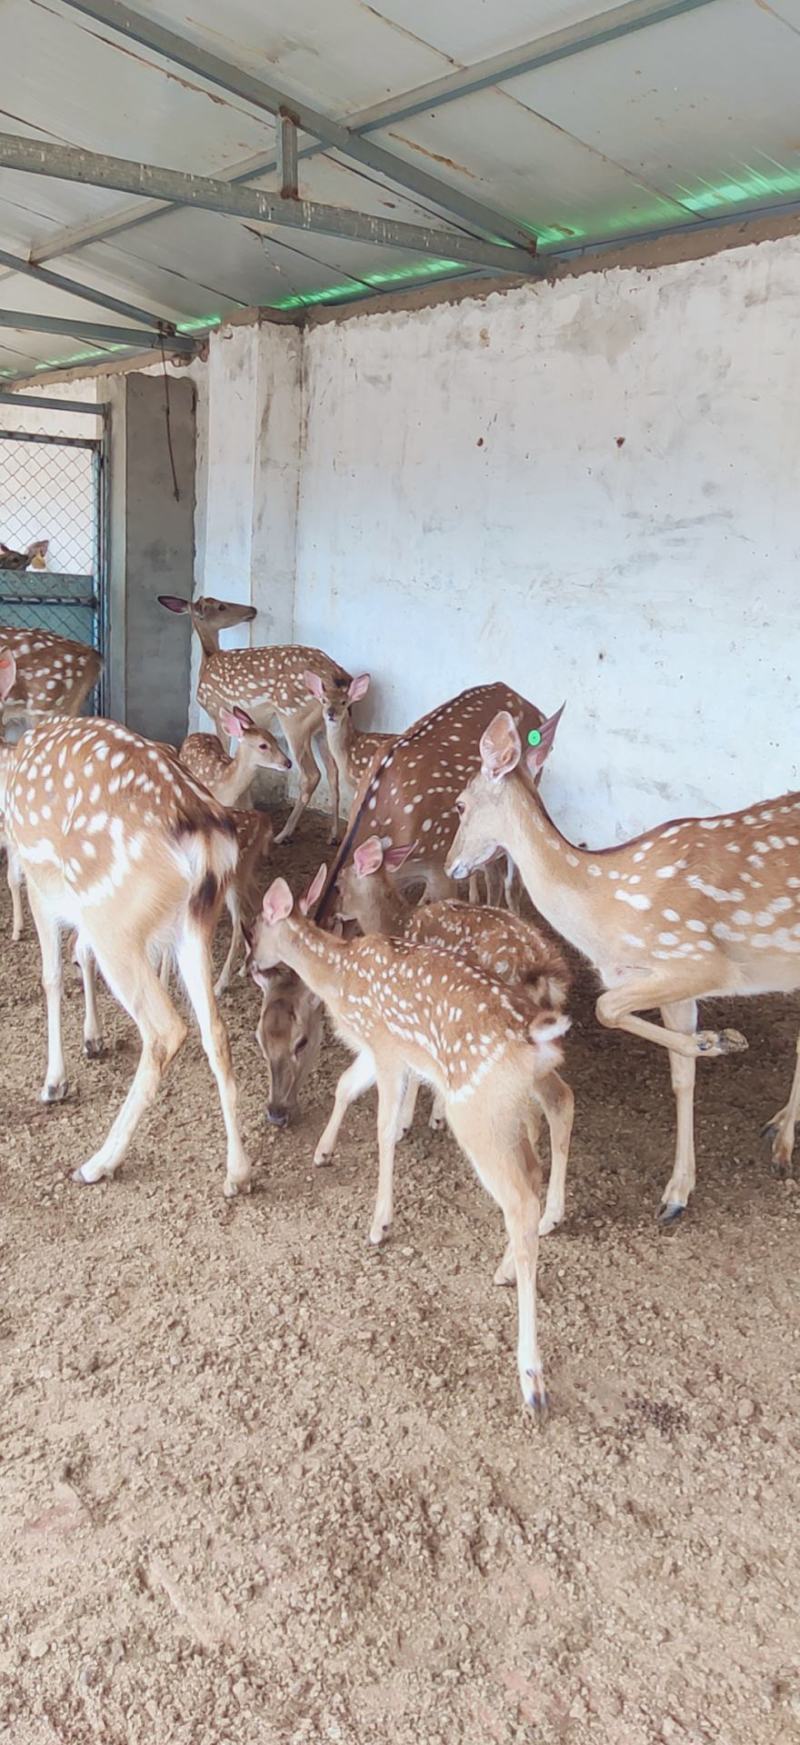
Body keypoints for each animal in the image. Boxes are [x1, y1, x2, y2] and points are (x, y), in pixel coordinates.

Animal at [0, 649, 251, 1196]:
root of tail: (205, 838)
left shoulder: (42, 880)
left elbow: (52, 976)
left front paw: (54, 1081)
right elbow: (78, 958)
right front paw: (92, 1041)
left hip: (115, 915)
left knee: (165, 1030)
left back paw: (98, 1162)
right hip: (190, 924)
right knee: (216, 1030)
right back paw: (238, 1172)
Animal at [158, 593, 352, 845]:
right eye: (221, 606)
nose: (252, 610)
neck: (207, 660)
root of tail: (339, 676)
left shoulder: (218, 710)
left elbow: (225, 751)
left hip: (294, 717)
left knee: (311, 774)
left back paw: (283, 834)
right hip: (323, 727)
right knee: (333, 771)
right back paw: (333, 835)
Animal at [335, 835, 574, 1234]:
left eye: (339, 883)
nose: (336, 913)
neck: (398, 922)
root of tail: (542, 972)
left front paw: (407, 1122)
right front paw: (433, 1114)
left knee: (554, 1101)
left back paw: (548, 1216)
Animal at [442, 703, 800, 1222]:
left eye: (460, 804)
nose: (449, 864)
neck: (603, 904)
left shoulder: (696, 959)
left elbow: (604, 1008)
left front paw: (720, 1040)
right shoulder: (675, 985)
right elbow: (680, 1077)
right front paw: (676, 1193)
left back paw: (783, 1141)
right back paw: (779, 1125)